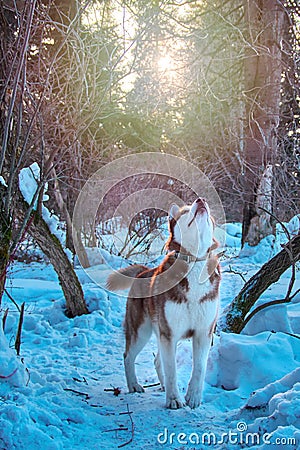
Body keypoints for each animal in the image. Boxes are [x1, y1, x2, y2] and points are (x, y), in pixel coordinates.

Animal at [107, 199, 220, 410]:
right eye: (185, 211)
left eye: (208, 213)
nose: (201, 200)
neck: (194, 263)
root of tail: (144, 271)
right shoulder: (169, 333)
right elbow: (172, 371)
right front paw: (174, 399)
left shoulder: (203, 333)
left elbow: (199, 368)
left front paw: (193, 397)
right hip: (141, 331)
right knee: (128, 356)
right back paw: (134, 385)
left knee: (157, 361)